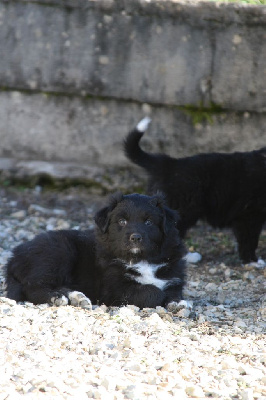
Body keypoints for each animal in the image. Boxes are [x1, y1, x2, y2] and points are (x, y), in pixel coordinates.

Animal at [4, 192, 187, 310]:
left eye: (149, 222)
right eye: (122, 221)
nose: (135, 238)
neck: (141, 259)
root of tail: (14, 255)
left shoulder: (173, 276)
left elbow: (173, 290)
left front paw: (177, 302)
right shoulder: (115, 289)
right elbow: (152, 291)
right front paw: (163, 297)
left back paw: (77, 297)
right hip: (58, 253)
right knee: (32, 286)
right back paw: (56, 297)